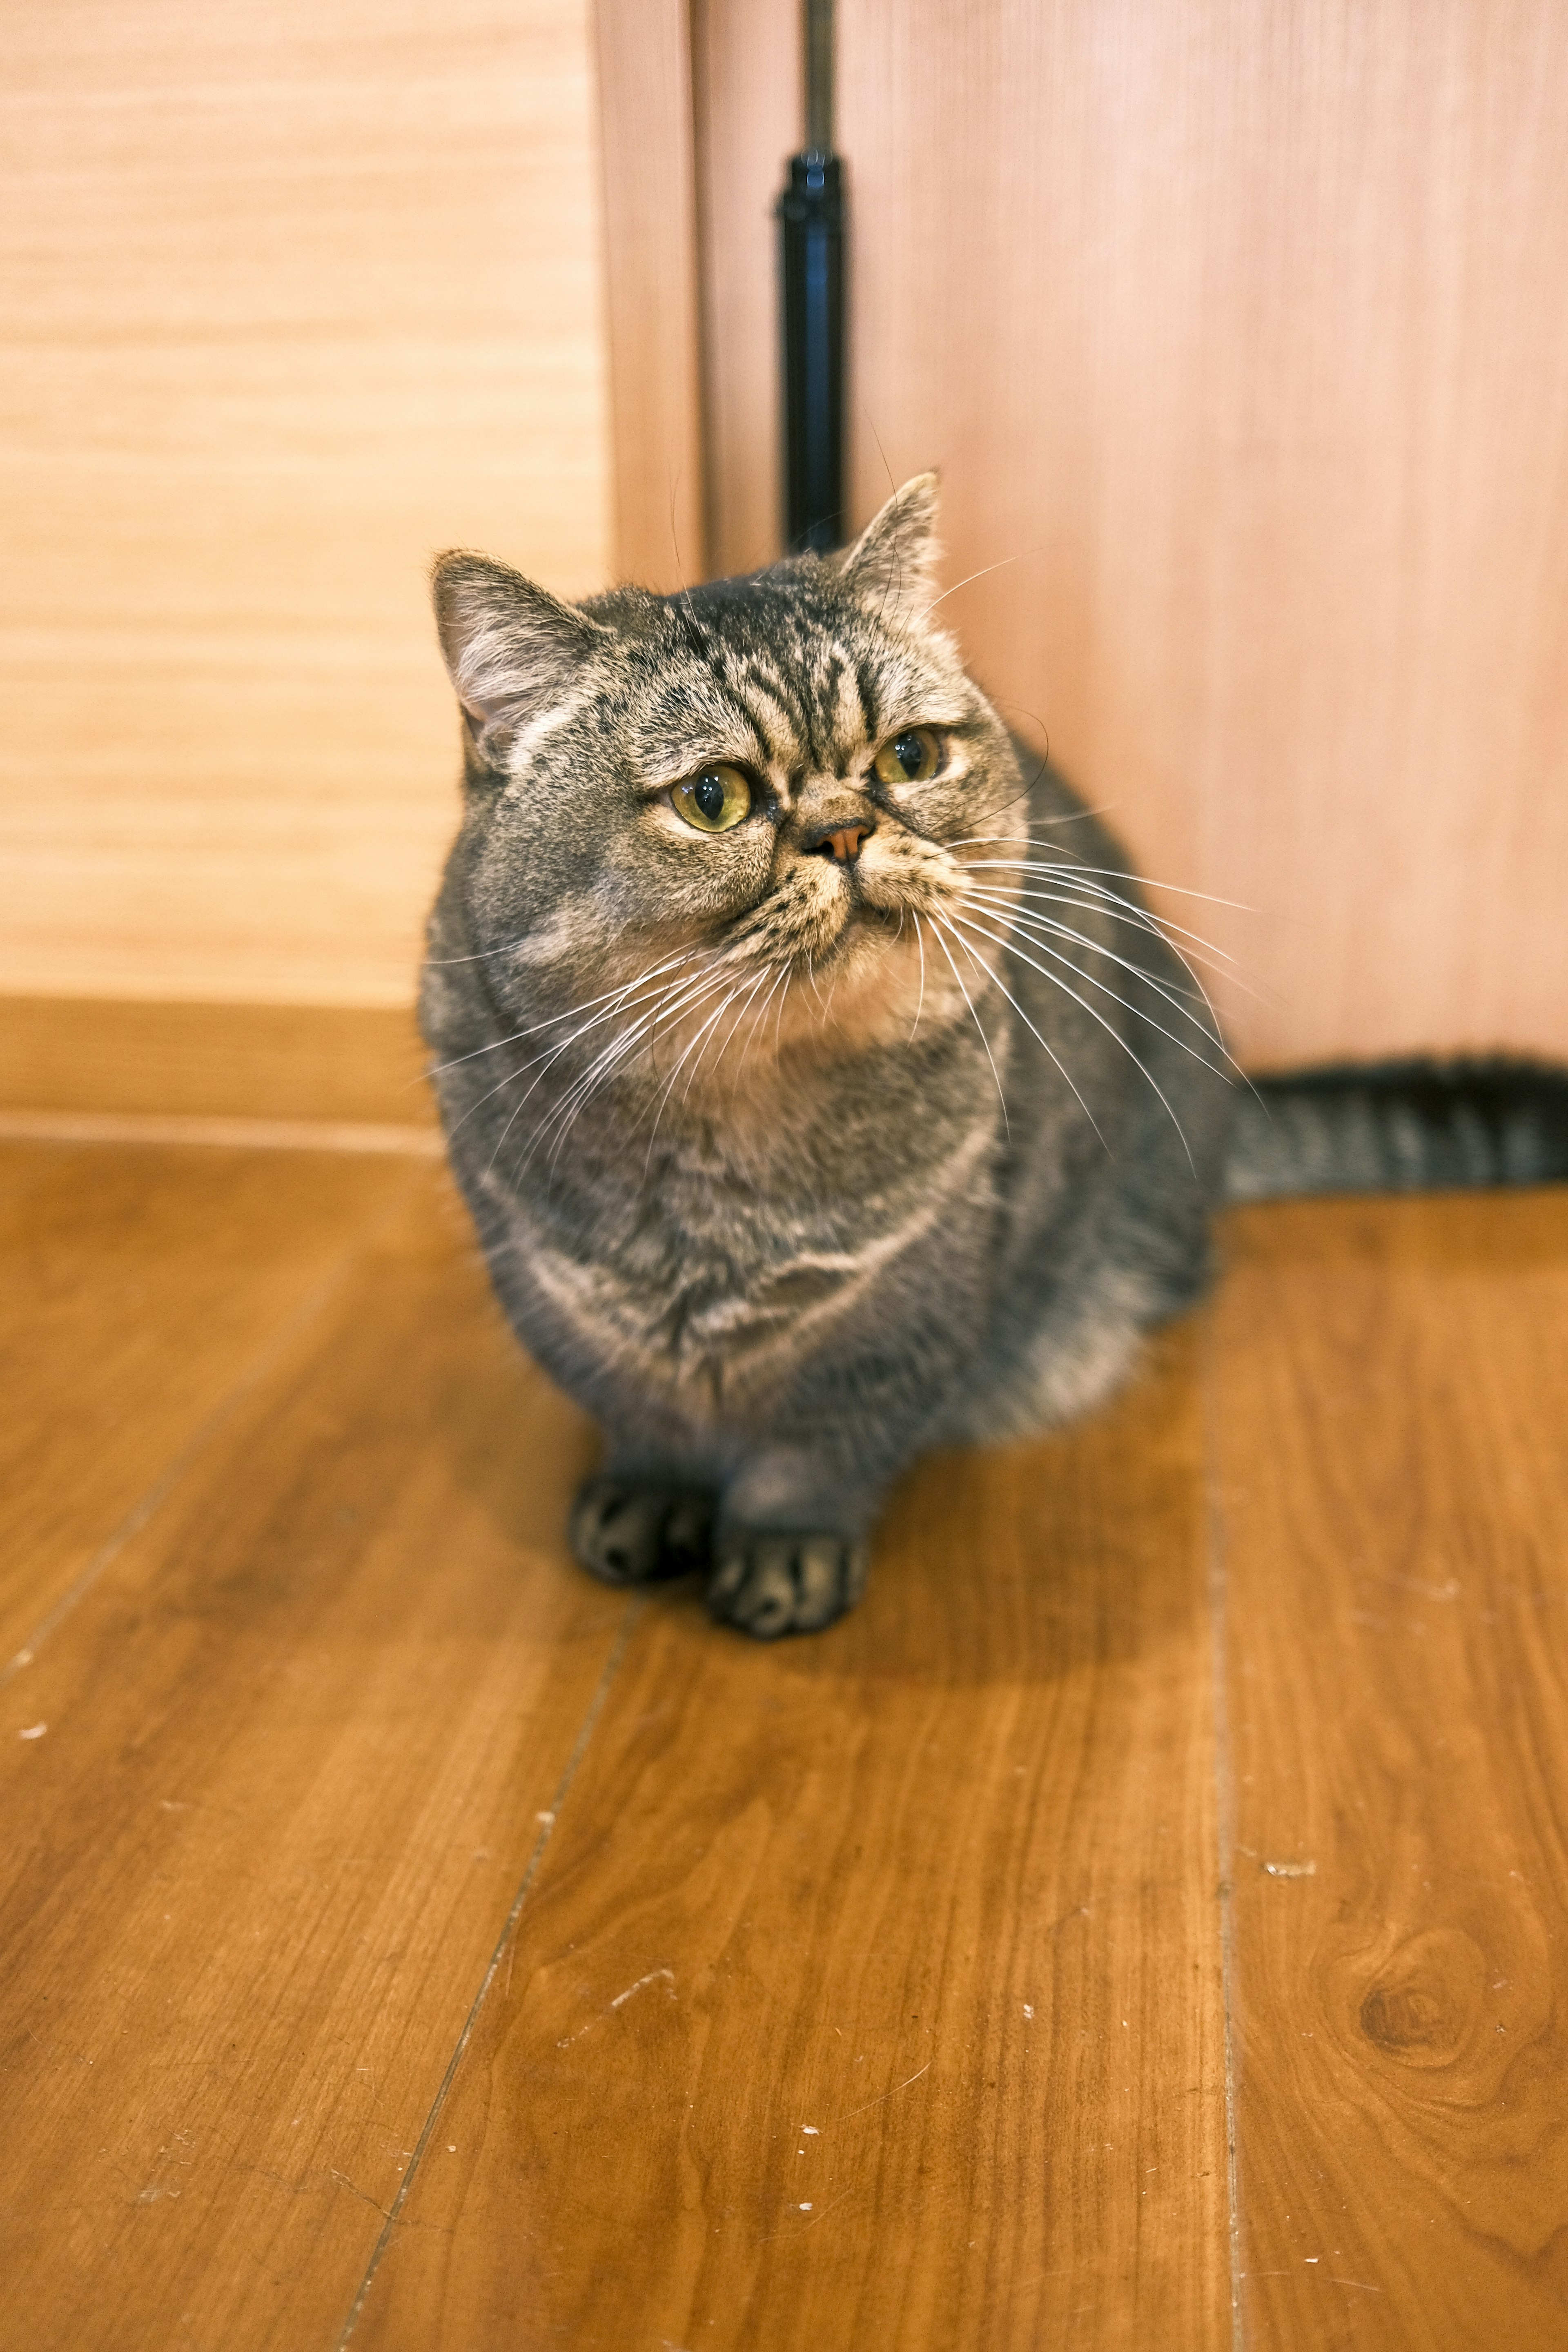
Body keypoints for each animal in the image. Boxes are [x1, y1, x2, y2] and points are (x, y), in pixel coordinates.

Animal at [421, 480, 1568, 1646]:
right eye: (713, 798)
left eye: (908, 758)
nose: (844, 831)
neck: (728, 1136)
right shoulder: (558, 1302)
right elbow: (642, 1419)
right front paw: (650, 1494)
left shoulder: (899, 1325)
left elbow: (812, 1461)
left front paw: (784, 1552)